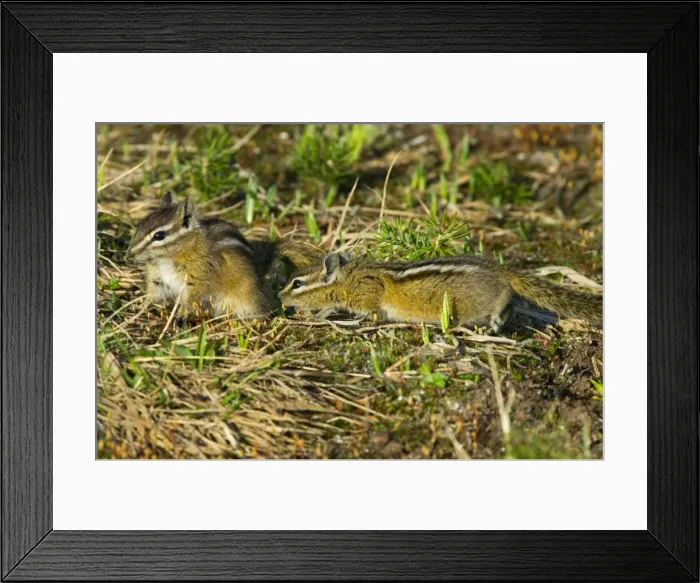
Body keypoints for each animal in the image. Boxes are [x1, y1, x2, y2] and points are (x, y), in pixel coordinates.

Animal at [126, 192, 321, 319]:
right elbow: (154, 294)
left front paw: (180, 314)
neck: (166, 259)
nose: (130, 254)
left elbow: (191, 298)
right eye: (139, 225)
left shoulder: (198, 278)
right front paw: (142, 307)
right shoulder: (158, 278)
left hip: (246, 300)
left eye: (159, 236)